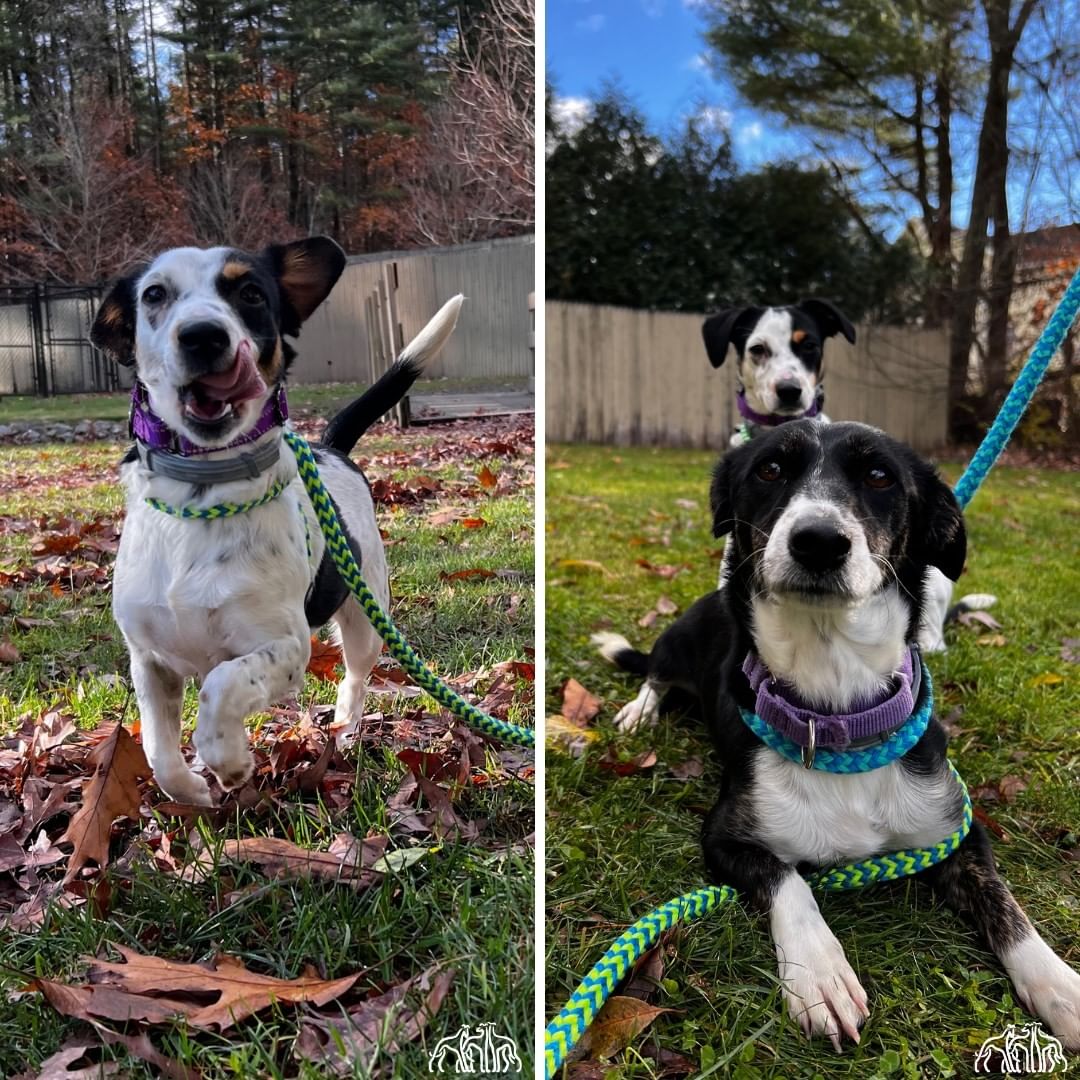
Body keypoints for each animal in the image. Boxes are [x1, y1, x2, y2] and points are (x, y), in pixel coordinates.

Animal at [90, 238, 462, 812]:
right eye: (154, 294)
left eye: (250, 293)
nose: (203, 335)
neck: (203, 490)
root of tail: (330, 447)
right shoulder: (149, 662)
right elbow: (157, 750)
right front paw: (193, 789)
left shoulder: (285, 648)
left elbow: (221, 684)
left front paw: (229, 761)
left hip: (365, 619)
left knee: (355, 679)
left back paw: (344, 732)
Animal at [596, 421, 1080, 1054]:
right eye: (770, 469)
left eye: (879, 476)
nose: (819, 541)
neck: (839, 716)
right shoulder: (725, 837)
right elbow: (788, 880)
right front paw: (821, 972)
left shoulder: (957, 832)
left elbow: (1009, 909)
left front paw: (1061, 986)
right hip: (678, 640)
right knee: (654, 674)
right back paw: (638, 712)